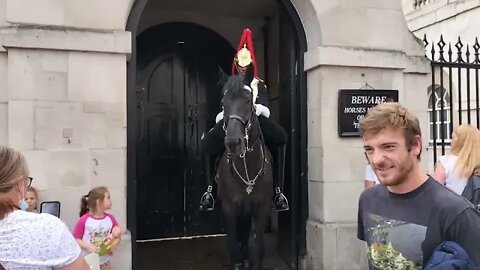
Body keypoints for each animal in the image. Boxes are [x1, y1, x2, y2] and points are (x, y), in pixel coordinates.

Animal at [216, 66, 272, 270]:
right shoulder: (229, 207)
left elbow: (258, 247)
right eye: (223, 103)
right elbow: (233, 248)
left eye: (248, 100)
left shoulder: (262, 207)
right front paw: (240, 260)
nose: (233, 142)